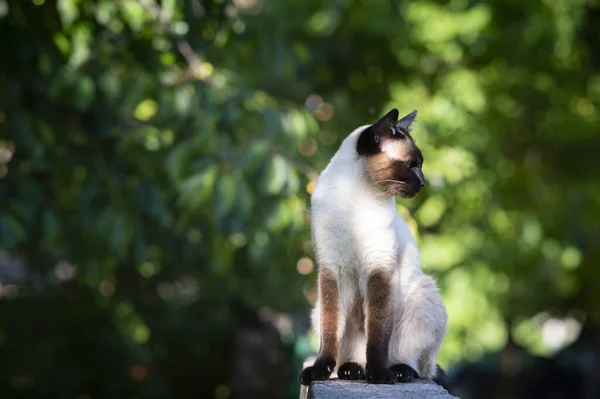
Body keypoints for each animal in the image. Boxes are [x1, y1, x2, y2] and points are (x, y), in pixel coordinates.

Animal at [298, 108, 446, 386]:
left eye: (419, 165)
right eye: (411, 165)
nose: (423, 183)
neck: (357, 200)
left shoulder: (379, 269)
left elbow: (377, 333)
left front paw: (379, 375)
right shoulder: (332, 271)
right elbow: (329, 333)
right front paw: (319, 370)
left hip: (424, 295)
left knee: (417, 364)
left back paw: (396, 371)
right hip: (317, 309)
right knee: (349, 355)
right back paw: (352, 370)